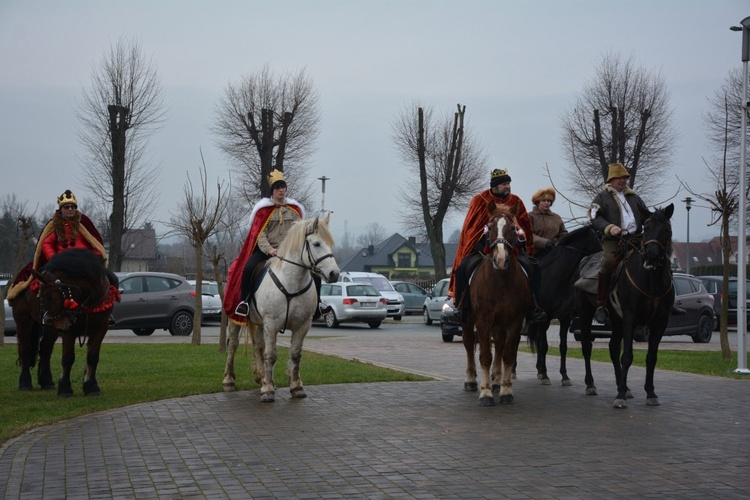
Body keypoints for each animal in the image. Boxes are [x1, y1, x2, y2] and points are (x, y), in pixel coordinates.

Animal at [11, 248, 119, 396]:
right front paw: (64, 388)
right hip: (24, 320)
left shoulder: (100, 328)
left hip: (52, 329)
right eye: (40, 295)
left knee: (46, 349)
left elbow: (92, 357)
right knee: (25, 348)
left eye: (49, 296)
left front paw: (91, 386)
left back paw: (47, 381)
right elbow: (68, 358)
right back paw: (25, 383)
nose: (47, 320)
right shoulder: (69, 329)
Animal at [223, 214, 340, 402]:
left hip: (259, 323)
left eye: (330, 243)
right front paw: (268, 390)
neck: (291, 281)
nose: (334, 274)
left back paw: (260, 377)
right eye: (316, 244)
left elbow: (295, 355)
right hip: (234, 319)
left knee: (258, 345)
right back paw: (228, 381)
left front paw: (296, 387)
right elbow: (270, 355)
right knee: (233, 345)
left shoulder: (302, 326)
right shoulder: (271, 324)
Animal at [462, 200, 536, 406]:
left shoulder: (514, 321)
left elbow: (508, 354)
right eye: (490, 227)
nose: (501, 259)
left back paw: (496, 381)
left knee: (500, 345)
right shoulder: (483, 319)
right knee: (469, 343)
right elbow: (485, 356)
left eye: (513, 228)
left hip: (500, 323)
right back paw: (471, 380)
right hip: (468, 319)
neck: (500, 280)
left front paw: (505, 391)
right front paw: (485, 393)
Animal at [536, 225, 604, 384]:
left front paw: (564, 376)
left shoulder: (565, 318)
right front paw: (546, 375)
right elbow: (544, 346)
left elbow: (563, 346)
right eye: (600, 238)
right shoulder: (544, 318)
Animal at [580, 205, 680, 408]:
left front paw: (650, 393)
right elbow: (627, 356)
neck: (651, 280)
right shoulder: (630, 317)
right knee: (587, 346)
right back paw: (591, 385)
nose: (651, 255)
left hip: (616, 321)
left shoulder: (659, 323)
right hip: (587, 314)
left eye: (666, 229)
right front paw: (619, 397)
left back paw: (624, 387)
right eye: (647, 228)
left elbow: (651, 358)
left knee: (612, 348)